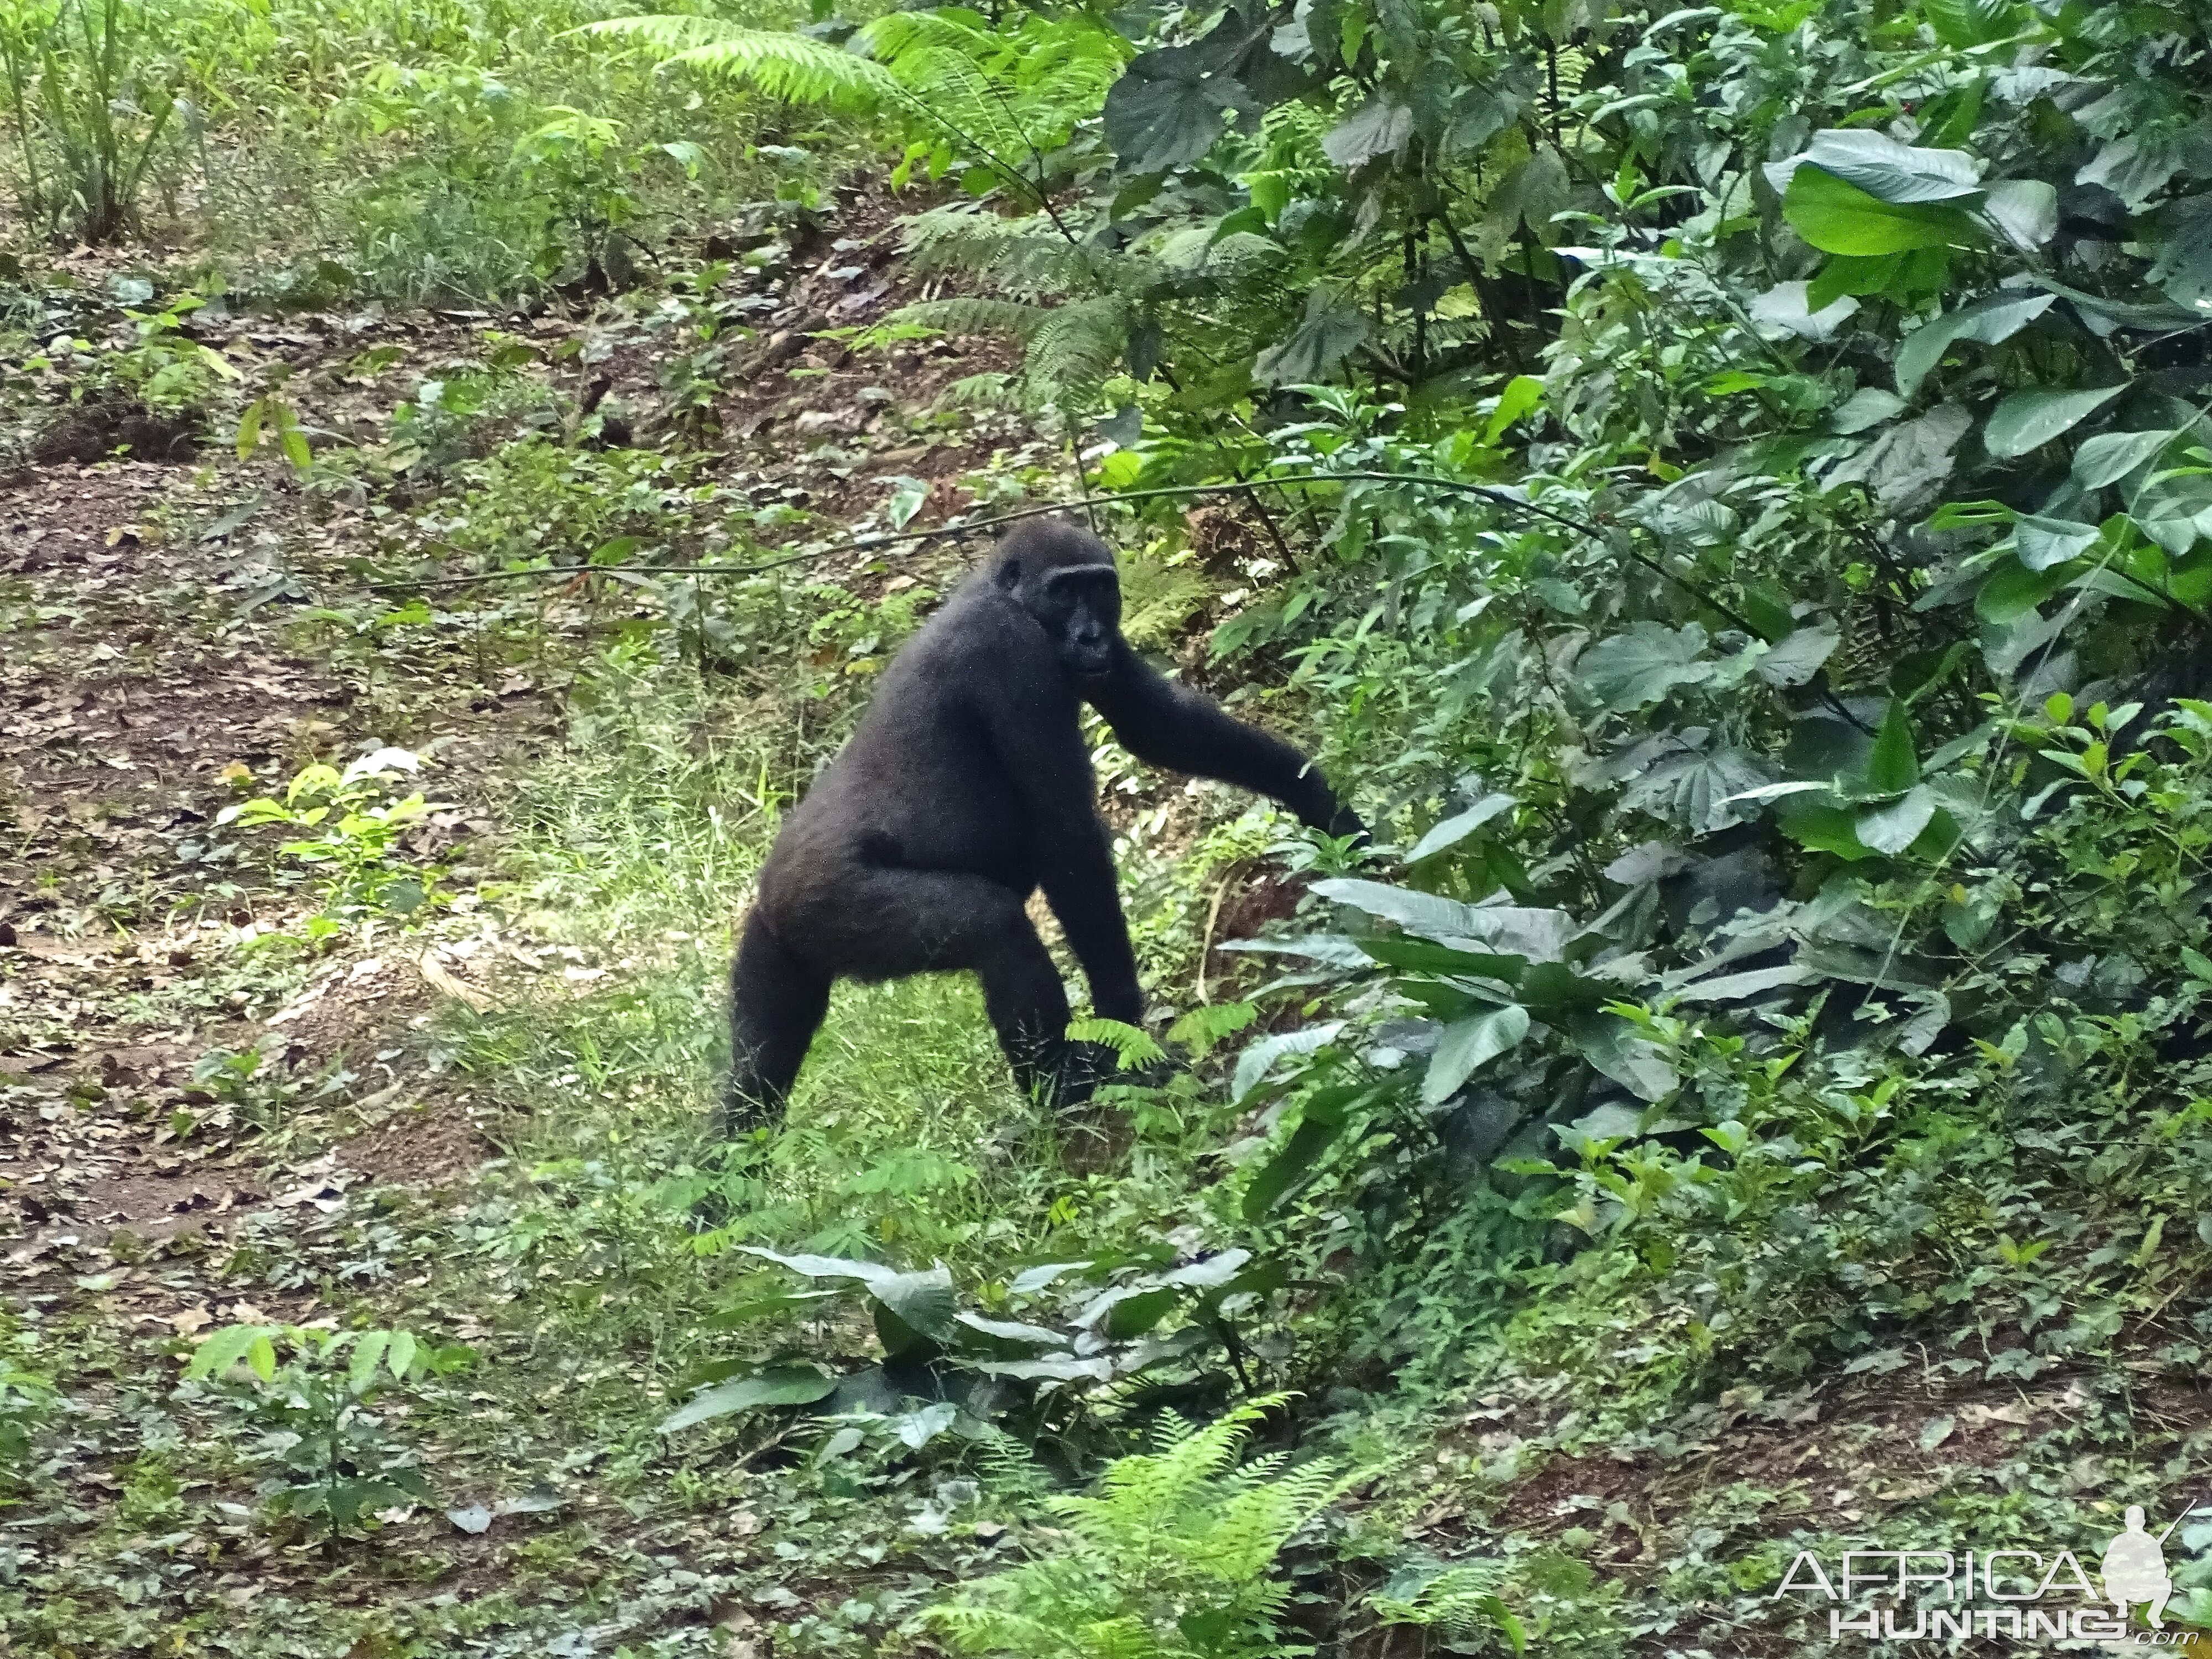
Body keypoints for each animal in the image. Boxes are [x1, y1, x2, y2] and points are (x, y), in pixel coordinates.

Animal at [721, 520, 1363, 1133]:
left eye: (1100, 589)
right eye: (1063, 593)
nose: (1090, 635)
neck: (1004, 594)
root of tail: (773, 894)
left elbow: (1158, 726)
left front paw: (1317, 798)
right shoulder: (1010, 656)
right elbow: (1068, 836)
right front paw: (1122, 1026)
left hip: (780, 934)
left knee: (760, 1055)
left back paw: (732, 1159)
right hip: (829, 900)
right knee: (996, 929)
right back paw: (1060, 1089)